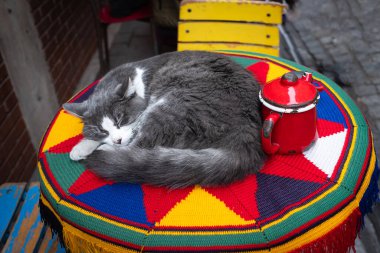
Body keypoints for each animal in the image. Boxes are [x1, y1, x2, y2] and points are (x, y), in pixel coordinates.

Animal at [63, 50, 264, 188]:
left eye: (121, 120)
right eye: (102, 130)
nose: (117, 140)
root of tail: (247, 134)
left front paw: (97, 147)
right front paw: (82, 146)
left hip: (169, 107)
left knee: (141, 143)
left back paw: (107, 151)